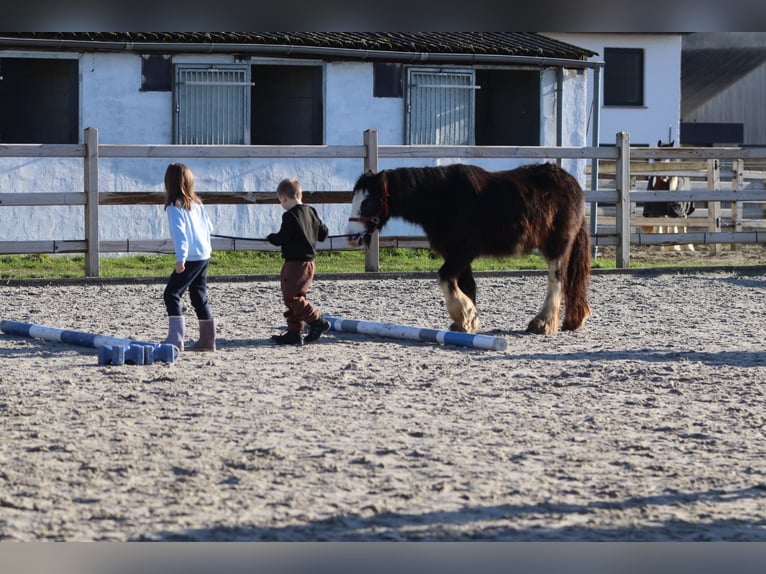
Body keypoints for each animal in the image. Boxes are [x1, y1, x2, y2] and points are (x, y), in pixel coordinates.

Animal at [348, 163, 592, 338]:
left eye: (367, 201)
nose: (351, 237)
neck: (443, 198)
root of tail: (572, 184)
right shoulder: (455, 253)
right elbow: (465, 285)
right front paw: (466, 322)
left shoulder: (465, 251)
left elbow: (446, 278)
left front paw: (466, 316)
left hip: (557, 246)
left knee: (557, 280)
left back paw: (543, 323)